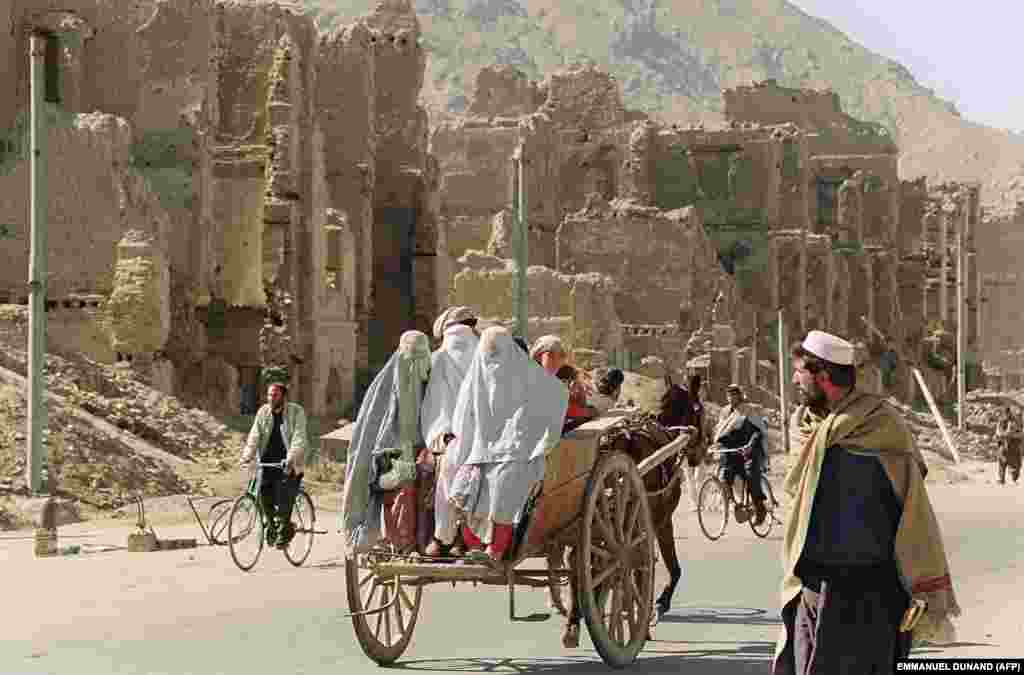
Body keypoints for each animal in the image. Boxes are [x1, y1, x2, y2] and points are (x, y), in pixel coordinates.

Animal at [557, 376, 700, 647]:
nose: (699, 455)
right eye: (700, 409)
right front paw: (657, 607)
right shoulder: (660, 521)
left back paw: (574, 623)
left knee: (577, 561)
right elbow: (668, 568)